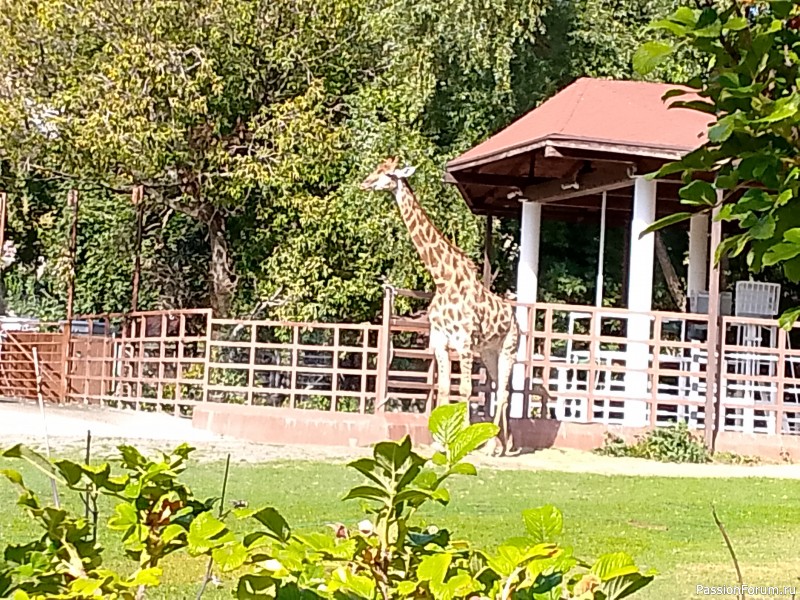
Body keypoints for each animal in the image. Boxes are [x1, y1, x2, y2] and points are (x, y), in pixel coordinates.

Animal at [360, 157, 520, 452]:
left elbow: (465, 390)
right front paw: (439, 442)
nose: (365, 183)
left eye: (389, 174)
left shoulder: (464, 343)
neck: (443, 279)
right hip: (489, 352)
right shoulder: (440, 342)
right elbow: (444, 389)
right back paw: (504, 444)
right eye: (376, 169)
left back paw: (492, 446)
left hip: (509, 348)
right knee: (497, 387)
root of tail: (514, 317)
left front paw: (463, 440)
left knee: (503, 390)